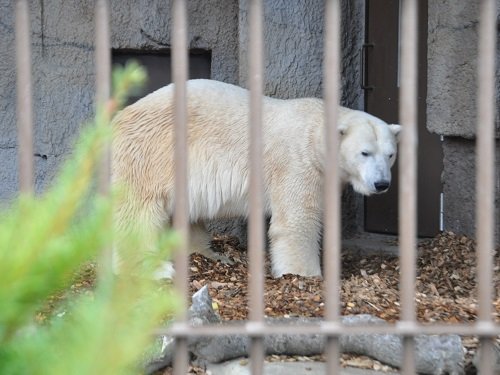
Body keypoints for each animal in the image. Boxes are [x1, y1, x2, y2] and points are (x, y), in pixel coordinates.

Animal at [111, 80, 400, 280]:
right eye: (365, 152)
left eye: (390, 154)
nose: (381, 184)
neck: (315, 134)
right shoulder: (296, 164)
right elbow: (297, 221)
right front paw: (305, 274)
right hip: (151, 156)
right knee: (137, 215)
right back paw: (157, 269)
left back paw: (212, 255)